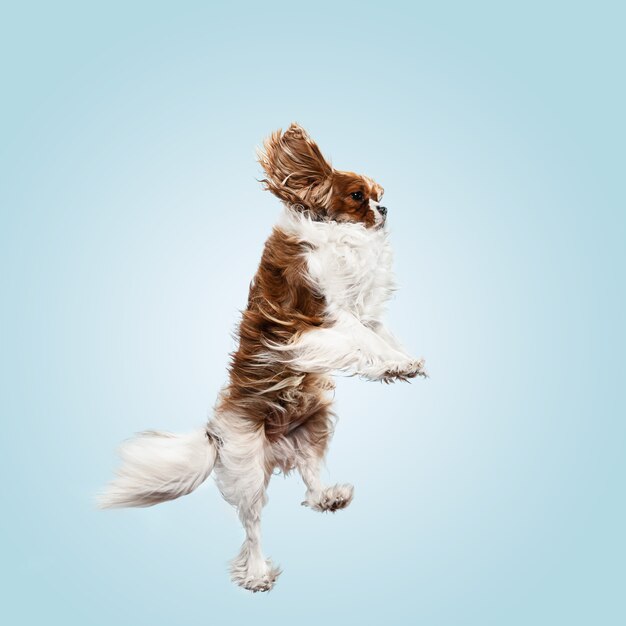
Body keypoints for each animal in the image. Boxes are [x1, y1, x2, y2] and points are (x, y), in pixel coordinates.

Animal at [98, 123, 428, 588]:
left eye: (379, 195)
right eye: (358, 196)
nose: (385, 209)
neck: (343, 241)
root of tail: (214, 433)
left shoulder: (364, 315)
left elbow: (384, 336)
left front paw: (405, 361)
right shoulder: (322, 321)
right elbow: (364, 340)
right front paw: (395, 364)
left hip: (314, 429)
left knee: (309, 477)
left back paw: (327, 497)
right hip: (247, 467)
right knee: (252, 525)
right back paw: (256, 573)